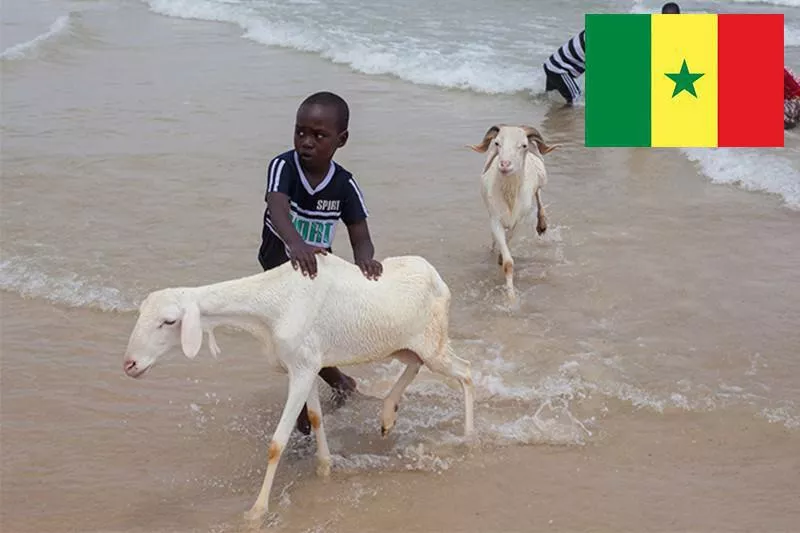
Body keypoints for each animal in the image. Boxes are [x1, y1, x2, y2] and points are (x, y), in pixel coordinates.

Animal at [120, 252, 476, 520]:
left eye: (169, 321)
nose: (130, 365)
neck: (271, 308)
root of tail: (436, 277)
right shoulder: (307, 365)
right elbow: (316, 419)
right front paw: (325, 468)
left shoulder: (303, 369)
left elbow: (277, 443)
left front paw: (256, 510)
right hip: (406, 344)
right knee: (415, 364)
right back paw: (388, 414)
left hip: (432, 342)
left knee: (466, 372)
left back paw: (469, 438)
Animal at [468, 122, 556, 302]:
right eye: (497, 143)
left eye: (523, 145)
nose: (505, 164)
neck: (509, 196)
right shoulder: (495, 219)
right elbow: (507, 261)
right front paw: (510, 297)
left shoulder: (519, 221)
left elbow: (509, 241)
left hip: (542, 177)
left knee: (538, 193)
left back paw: (542, 224)